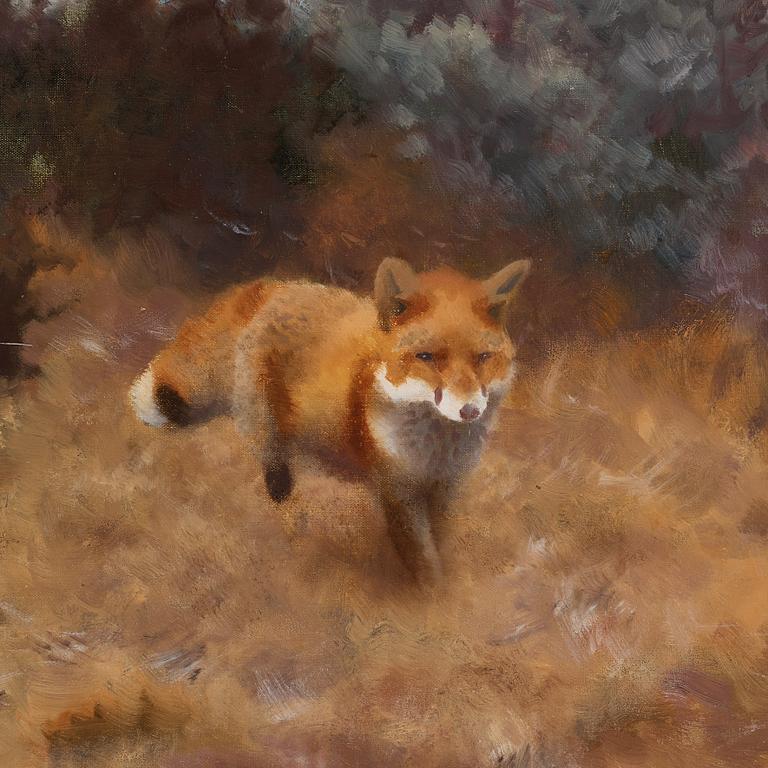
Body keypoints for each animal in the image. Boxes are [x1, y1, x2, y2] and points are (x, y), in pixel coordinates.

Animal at [130, 257, 531, 582]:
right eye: (427, 357)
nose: (469, 411)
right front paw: (433, 600)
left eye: (483, 358)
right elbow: (424, 560)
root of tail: (277, 286)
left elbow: (441, 543)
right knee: (270, 454)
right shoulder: (398, 493)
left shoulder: (447, 486)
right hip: (261, 415)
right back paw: (284, 496)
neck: (435, 450)